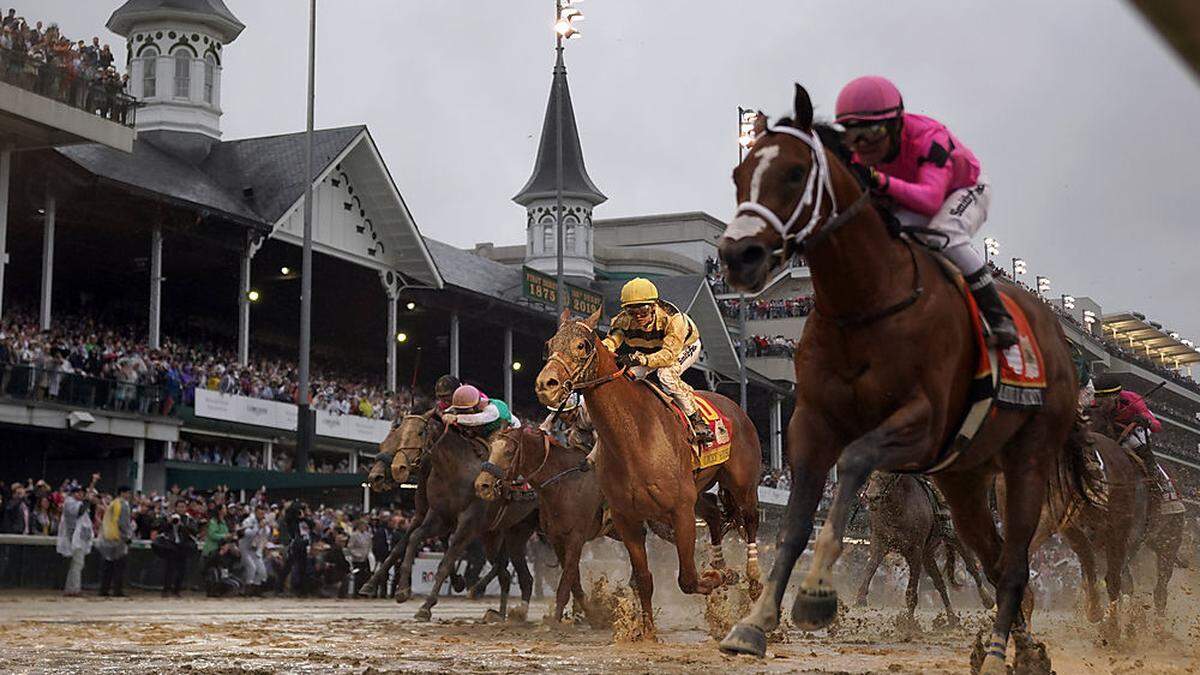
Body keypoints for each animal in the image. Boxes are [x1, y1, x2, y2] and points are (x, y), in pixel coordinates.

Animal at [540, 309, 763, 634]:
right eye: (549, 344)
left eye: (582, 345)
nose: (547, 384)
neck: (634, 436)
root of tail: (736, 408)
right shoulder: (627, 519)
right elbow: (644, 579)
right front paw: (647, 632)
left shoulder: (680, 511)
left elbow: (688, 579)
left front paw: (721, 578)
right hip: (698, 490)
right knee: (713, 514)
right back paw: (720, 565)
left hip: (743, 485)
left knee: (750, 522)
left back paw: (754, 580)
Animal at [710, 85, 1099, 672]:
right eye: (739, 174)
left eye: (797, 172)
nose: (739, 255)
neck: (866, 302)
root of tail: (1057, 341)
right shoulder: (812, 420)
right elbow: (797, 523)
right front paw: (754, 624)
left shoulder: (921, 422)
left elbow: (854, 463)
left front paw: (818, 596)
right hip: (965, 480)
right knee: (992, 559)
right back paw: (1022, 645)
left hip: (1027, 461)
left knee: (1012, 562)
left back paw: (998, 649)